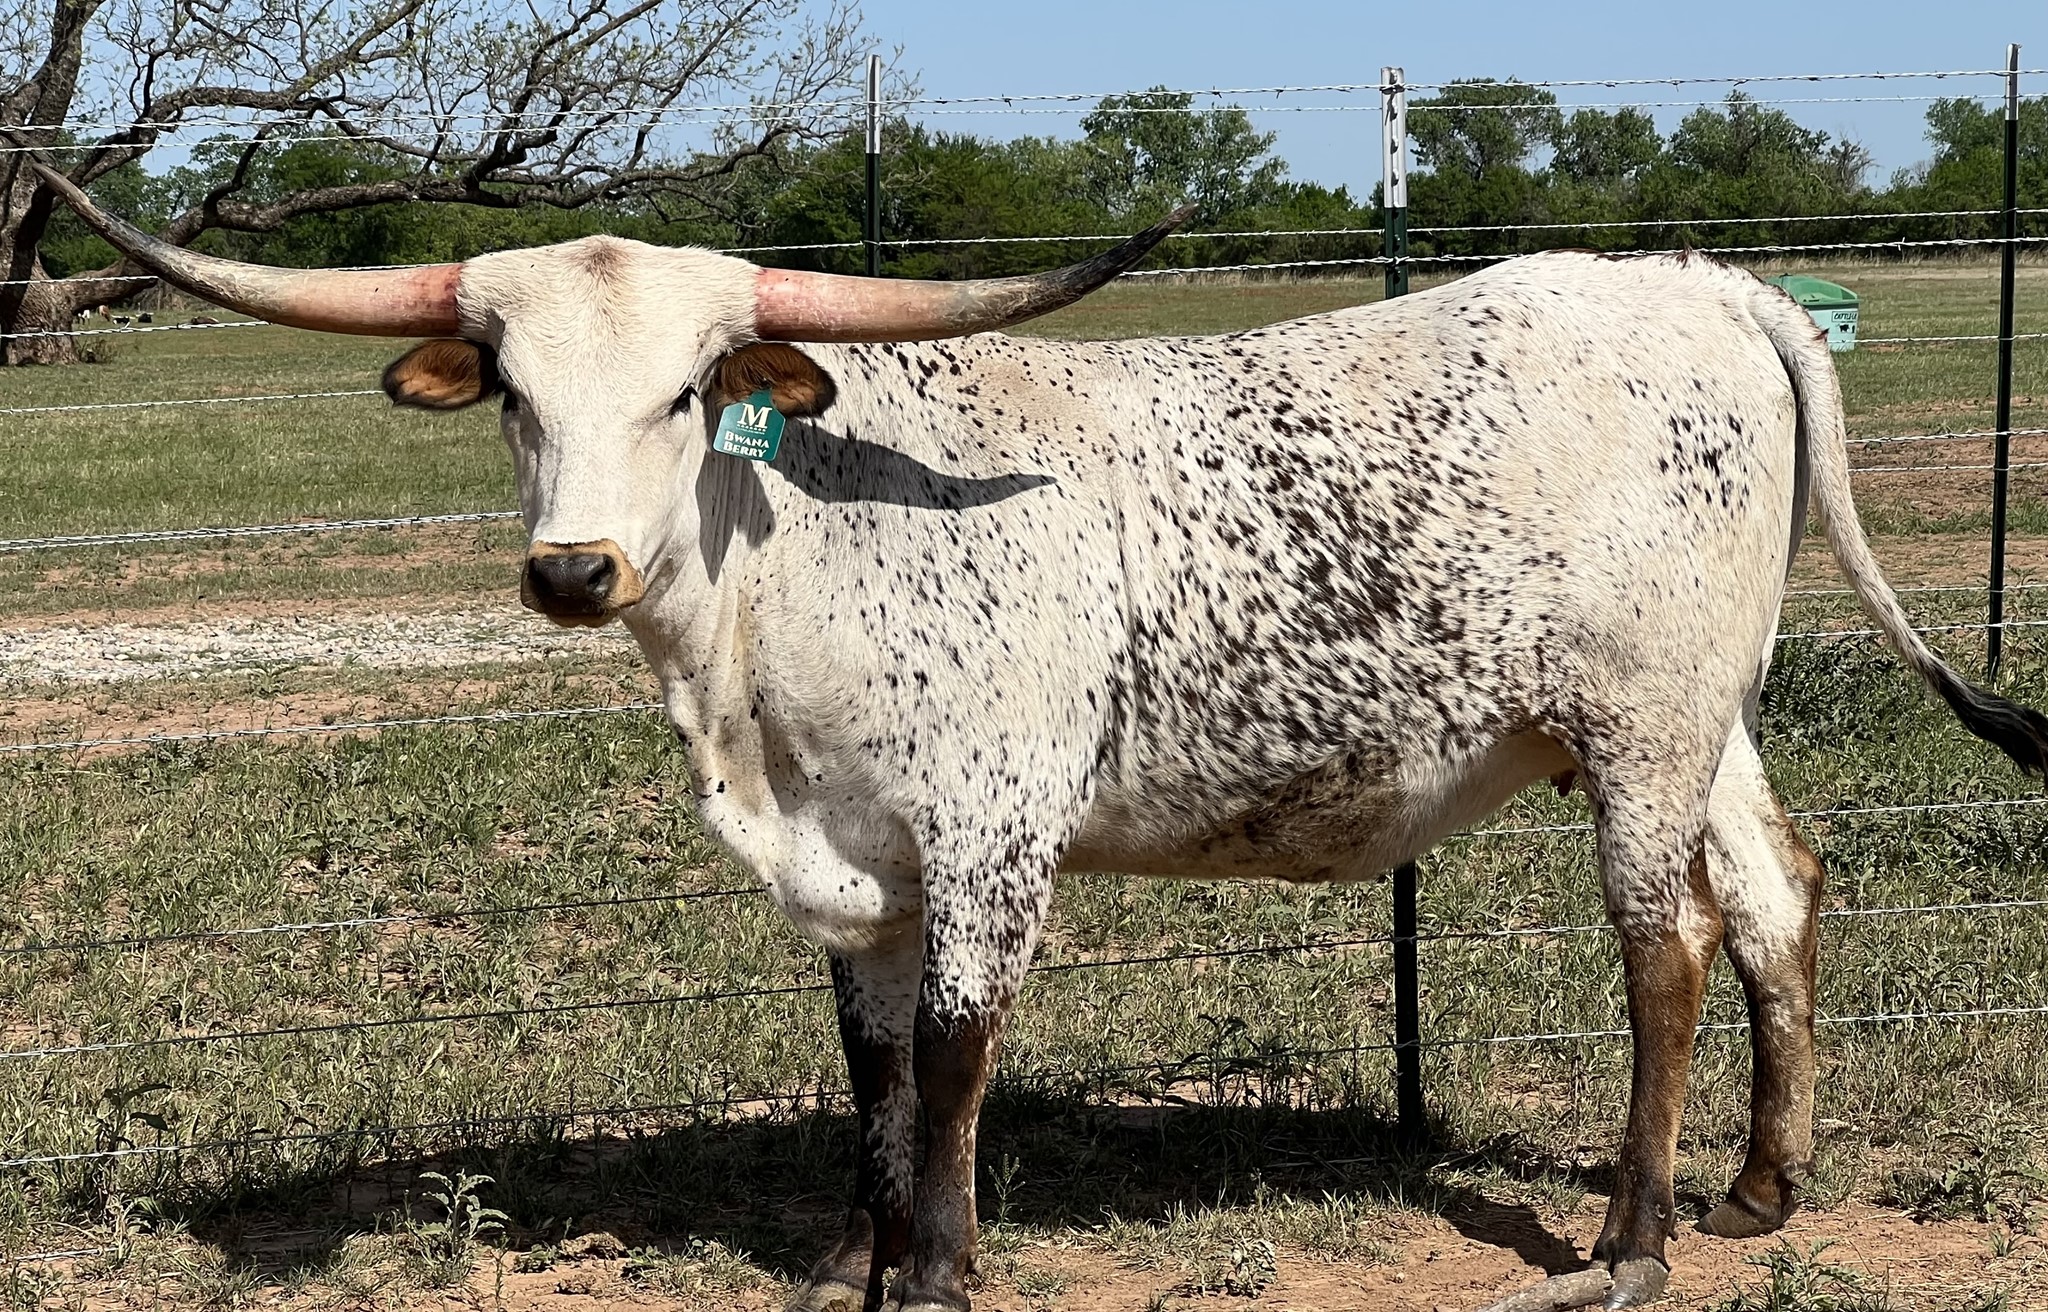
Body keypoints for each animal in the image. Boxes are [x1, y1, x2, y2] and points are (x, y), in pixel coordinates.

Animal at [35, 159, 2048, 1312]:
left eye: (690, 391)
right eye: (514, 395)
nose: (573, 567)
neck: (788, 568)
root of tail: (1705, 281)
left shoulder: (991, 836)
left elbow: (953, 1054)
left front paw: (938, 1269)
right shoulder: (850, 861)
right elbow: (868, 1068)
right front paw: (853, 1256)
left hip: (1639, 722)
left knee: (1666, 944)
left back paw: (1632, 1240)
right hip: (1705, 720)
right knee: (1778, 891)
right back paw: (1761, 1189)